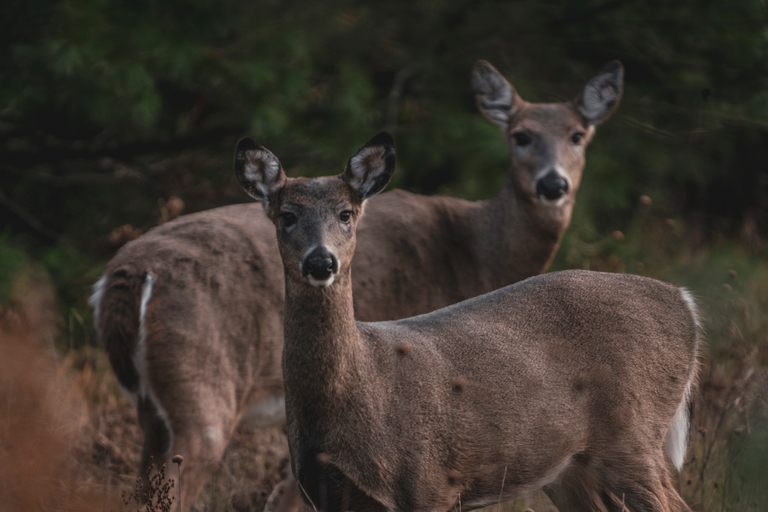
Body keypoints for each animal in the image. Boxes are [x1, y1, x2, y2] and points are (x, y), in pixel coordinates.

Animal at [90, 60, 625, 510]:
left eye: (578, 135)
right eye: (521, 136)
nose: (553, 185)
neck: (475, 252)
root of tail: (127, 276)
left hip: (151, 408)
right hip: (202, 390)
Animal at [236, 131, 700, 512]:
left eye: (346, 213)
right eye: (287, 215)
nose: (321, 261)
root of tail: (684, 302)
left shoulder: (428, 481)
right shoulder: (325, 492)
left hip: (633, 433)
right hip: (571, 466)